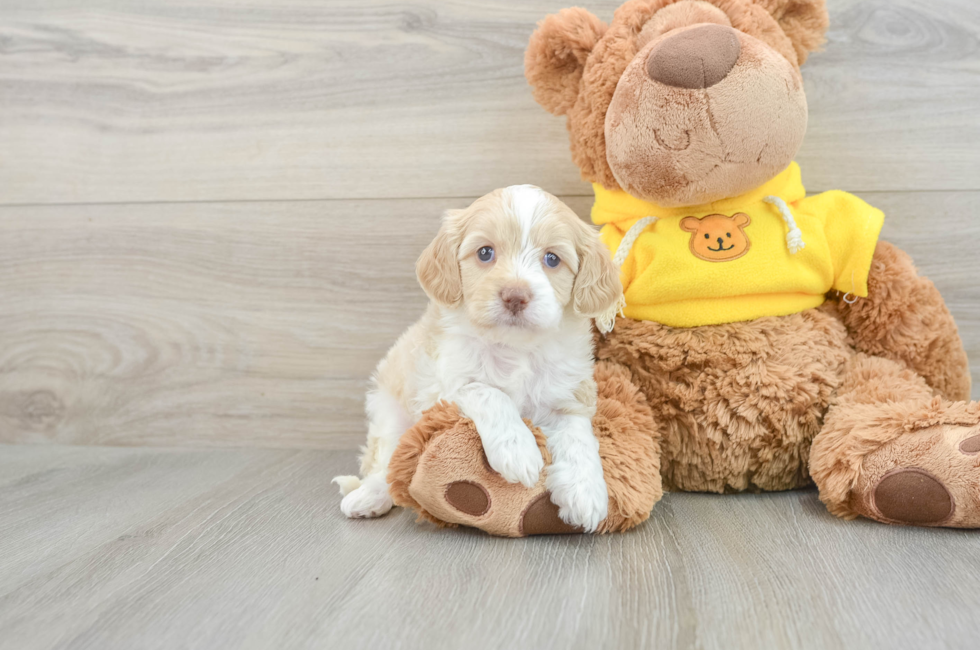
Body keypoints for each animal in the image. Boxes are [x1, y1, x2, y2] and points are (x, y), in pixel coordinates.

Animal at [330, 185, 620, 528]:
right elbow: (489, 393)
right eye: (485, 253)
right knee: (386, 463)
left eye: (552, 259)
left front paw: (586, 492)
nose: (515, 295)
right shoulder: (444, 386)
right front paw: (518, 450)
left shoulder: (569, 393)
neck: (514, 347)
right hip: (390, 415)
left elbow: (578, 436)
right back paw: (369, 496)